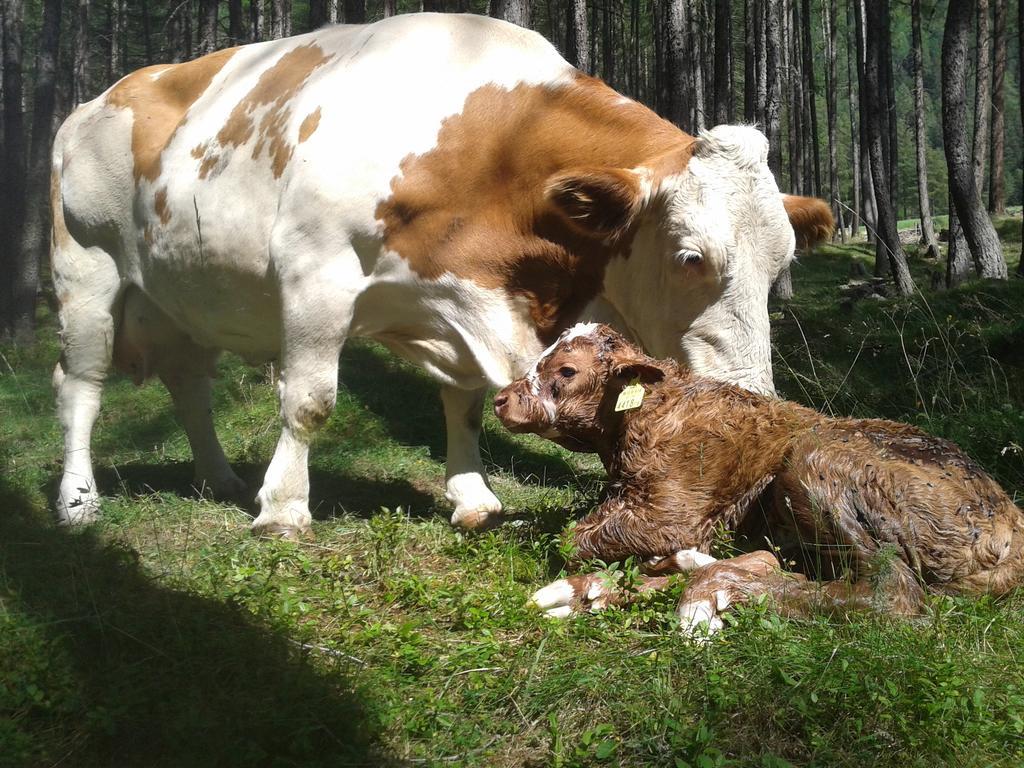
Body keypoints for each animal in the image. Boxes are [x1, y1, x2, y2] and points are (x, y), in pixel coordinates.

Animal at [49, 13, 831, 540]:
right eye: (690, 257)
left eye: (781, 266)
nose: (755, 399)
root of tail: (97, 99)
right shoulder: (314, 273)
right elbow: (310, 402)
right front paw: (284, 511)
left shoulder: (465, 297)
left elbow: (466, 405)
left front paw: (472, 497)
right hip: (85, 270)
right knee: (81, 383)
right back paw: (78, 500)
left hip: (188, 295)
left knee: (189, 384)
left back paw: (219, 476)